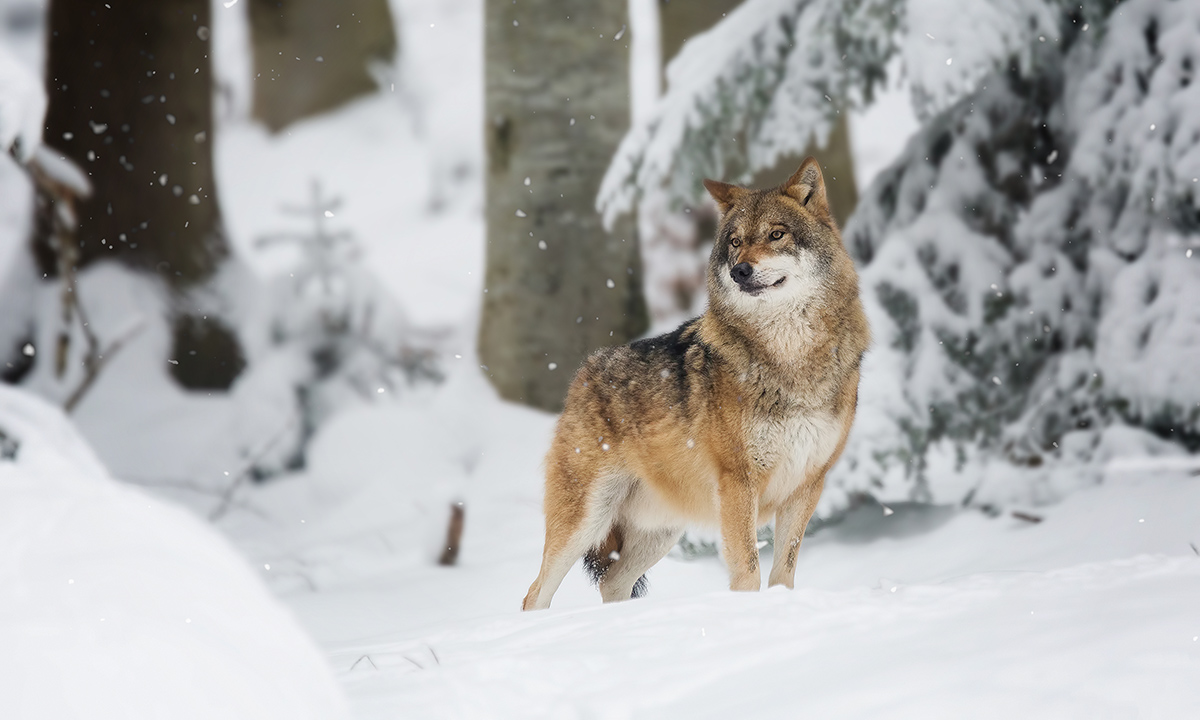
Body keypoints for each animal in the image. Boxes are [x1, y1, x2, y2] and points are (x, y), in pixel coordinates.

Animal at [520, 156, 868, 607]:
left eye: (776, 234)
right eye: (735, 242)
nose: (740, 271)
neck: (791, 358)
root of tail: (584, 371)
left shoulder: (808, 484)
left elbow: (784, 572)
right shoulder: (738, 482)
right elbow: (748, 571)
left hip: (662, 530)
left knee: (611, 581)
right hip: (585, 521)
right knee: (535, 593)